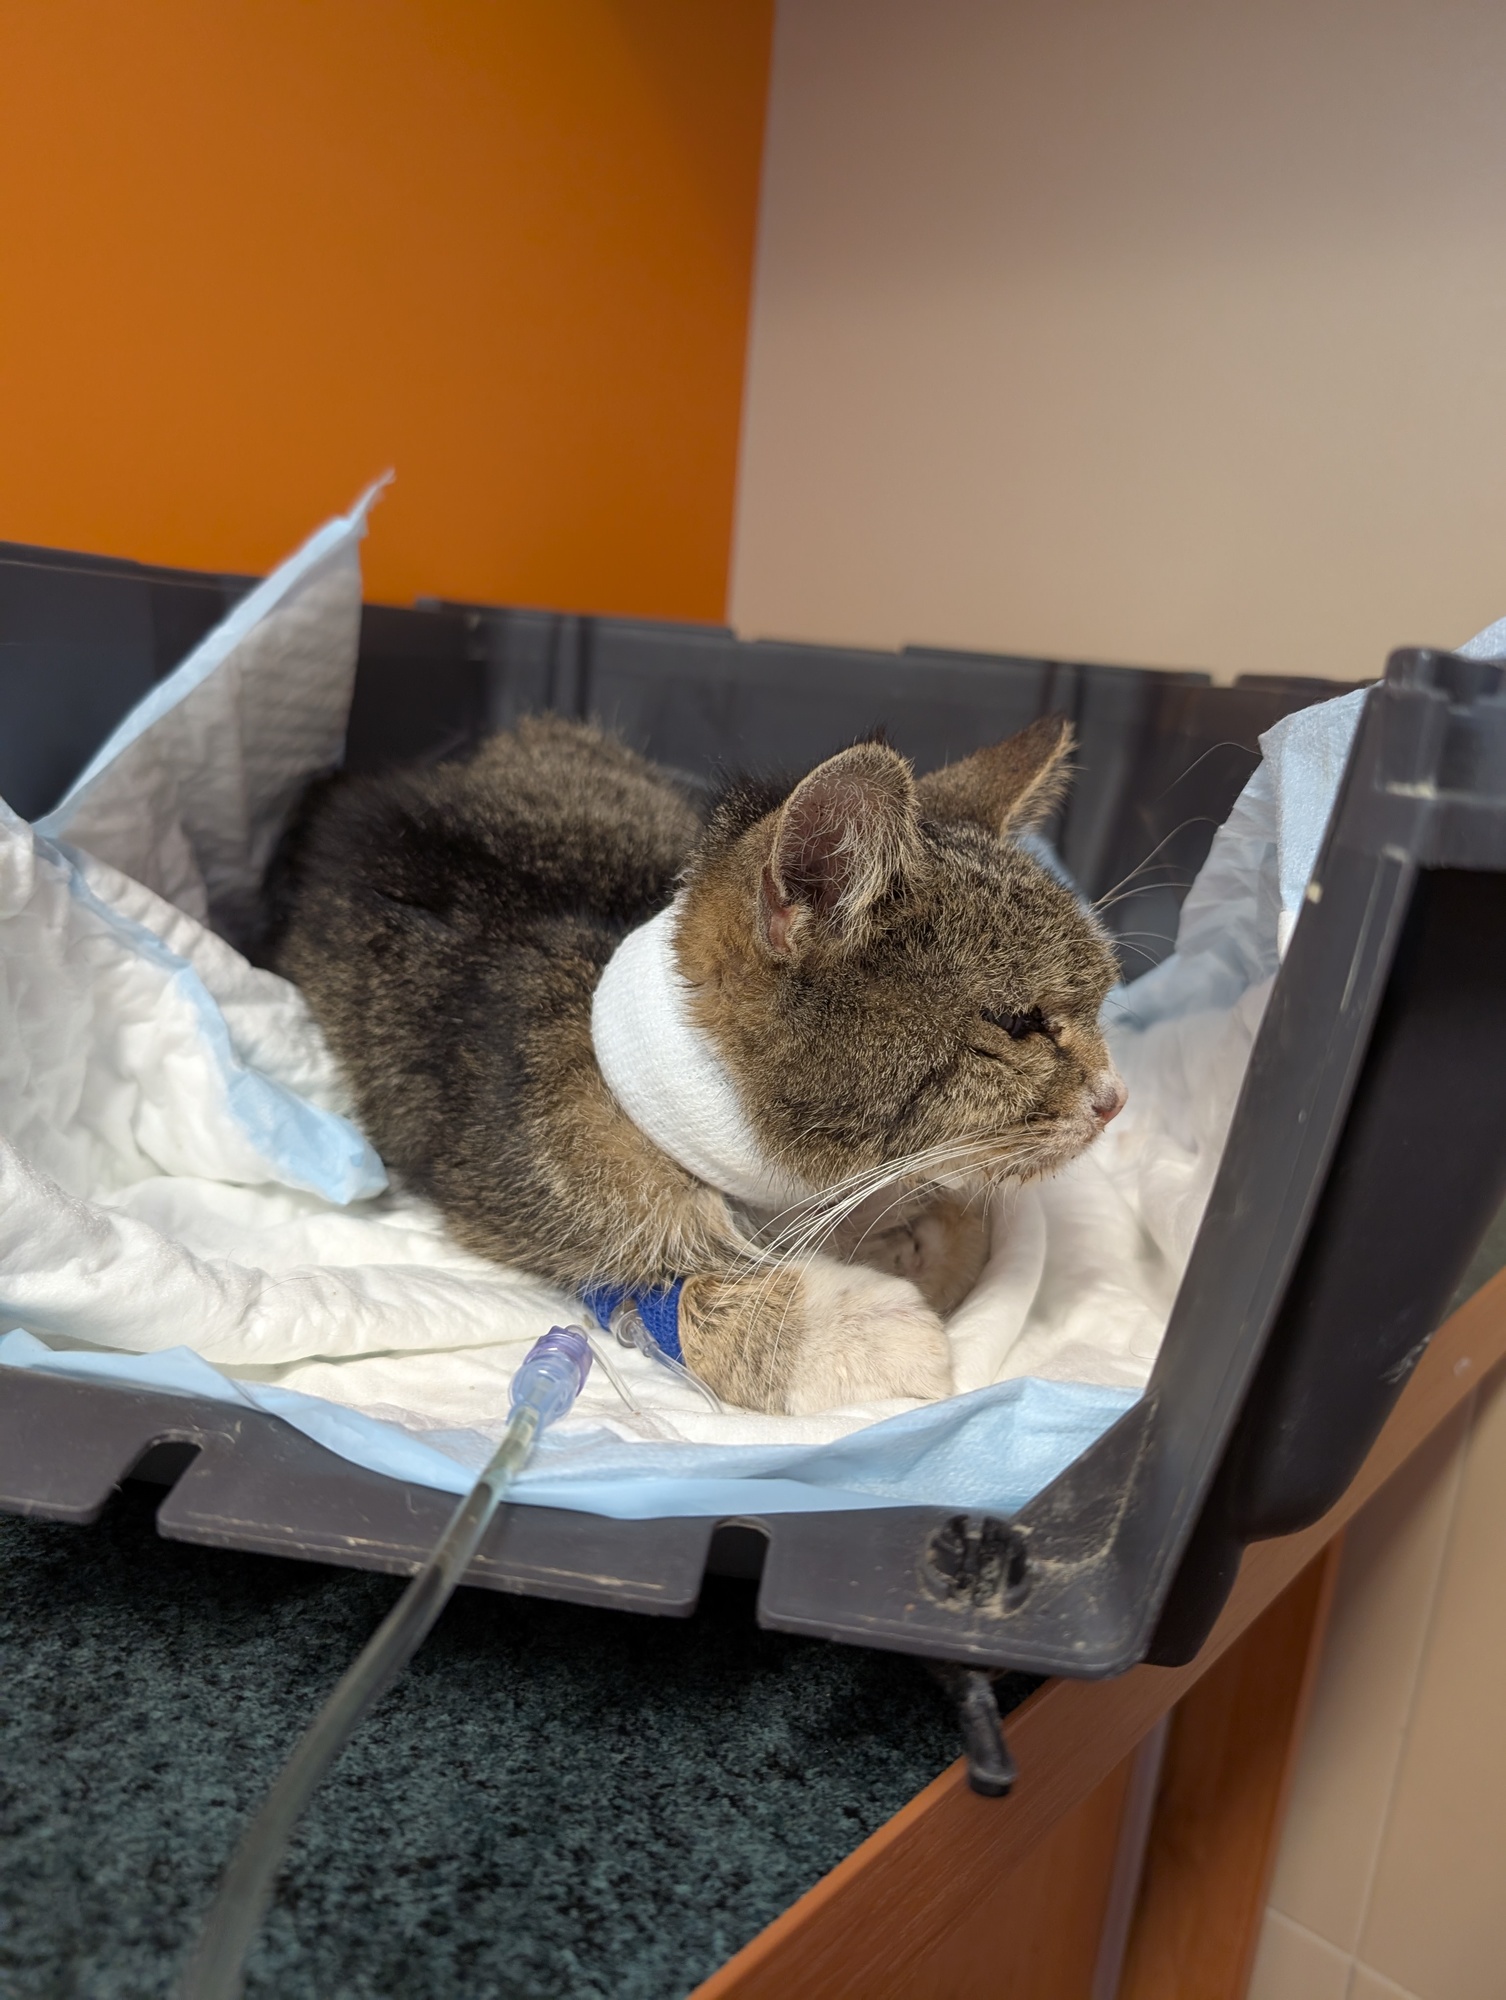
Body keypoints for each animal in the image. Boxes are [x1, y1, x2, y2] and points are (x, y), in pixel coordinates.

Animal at [269, 712, 1125, 1414]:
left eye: (1101, 1001)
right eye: (1020, 1023)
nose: (1115, 1098)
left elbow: (957, 1226)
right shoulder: (536, 1213)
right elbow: (675, 1291)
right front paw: (854, 1327)